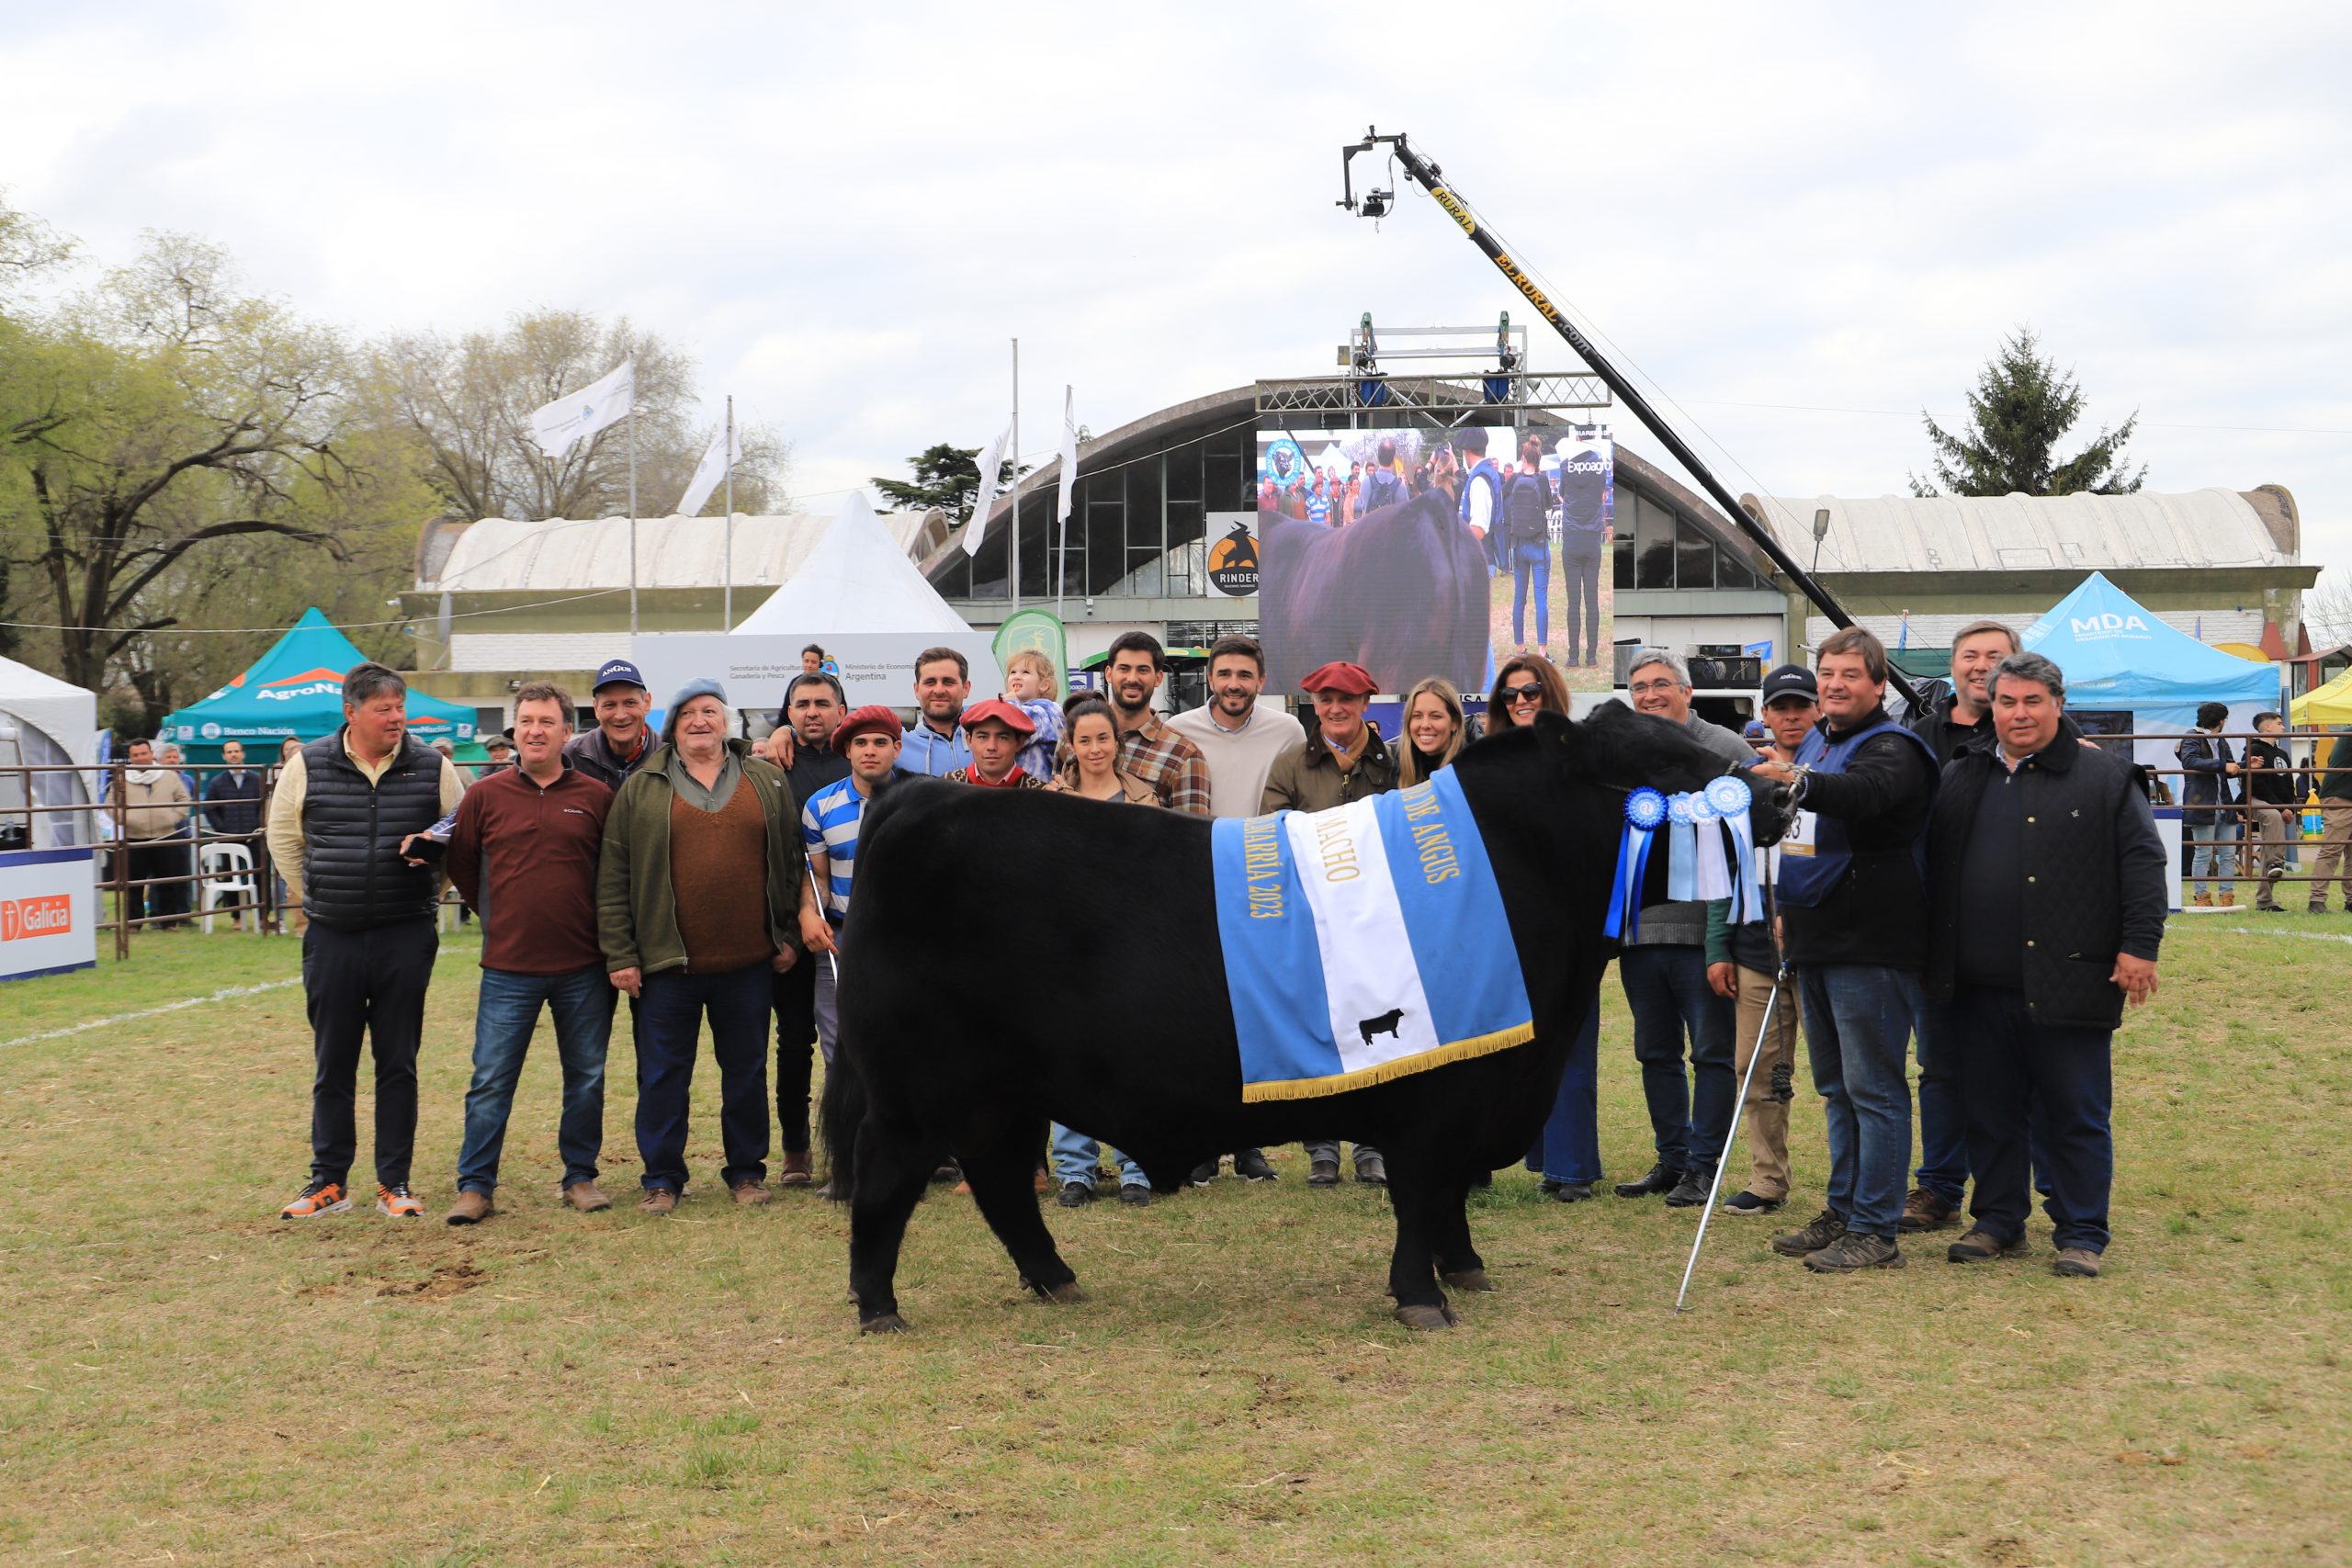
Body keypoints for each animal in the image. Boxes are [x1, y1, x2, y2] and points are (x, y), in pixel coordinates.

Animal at [828, 705, 1778, 1335]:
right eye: (1663, 760)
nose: (1776, 791)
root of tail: (913, 797)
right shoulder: (1438, 1101)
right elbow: (1422, 1194)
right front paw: (1423, 1298)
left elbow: (1446, 1201)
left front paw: (1465, 1270)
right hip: (917, 1086)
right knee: (886, 1179)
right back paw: (879, 1307)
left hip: (1006, 1090)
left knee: (997, 1181)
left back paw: (1056, 1279)